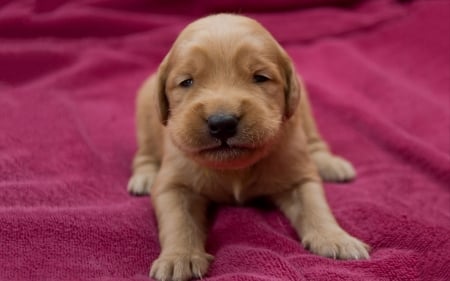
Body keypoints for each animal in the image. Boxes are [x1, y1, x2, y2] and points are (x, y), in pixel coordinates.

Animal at [126, 14, 370, 280]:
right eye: (186, 82)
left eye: (260, 77)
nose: (222, 123)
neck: (234, 167)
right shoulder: (174, 184)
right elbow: (179, 220)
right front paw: (179, 257)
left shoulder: (298, 174)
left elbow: (315, 205)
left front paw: (336, 239)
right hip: (144, 111)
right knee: (144, 154)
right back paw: (145, 176)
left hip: (305, 107)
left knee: (315, 141)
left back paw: (330, 164)